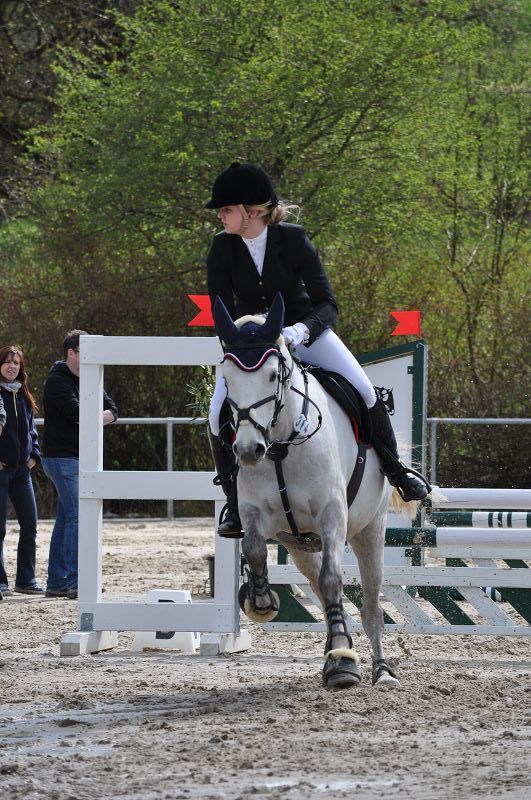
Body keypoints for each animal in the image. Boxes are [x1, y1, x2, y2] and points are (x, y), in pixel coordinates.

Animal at [213, 293, 409, 689]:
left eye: (273, 375)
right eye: (226, 379)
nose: (248, 450)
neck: (280, 444)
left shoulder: (332, 513)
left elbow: (333, 579)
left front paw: (345, 667)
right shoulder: (256, 513)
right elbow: (255, 549)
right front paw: (259, 600)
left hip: (370, 530)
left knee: (370, 605)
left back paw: (380, 671)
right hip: (299, 545)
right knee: (319, 588)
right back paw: (337, 650)